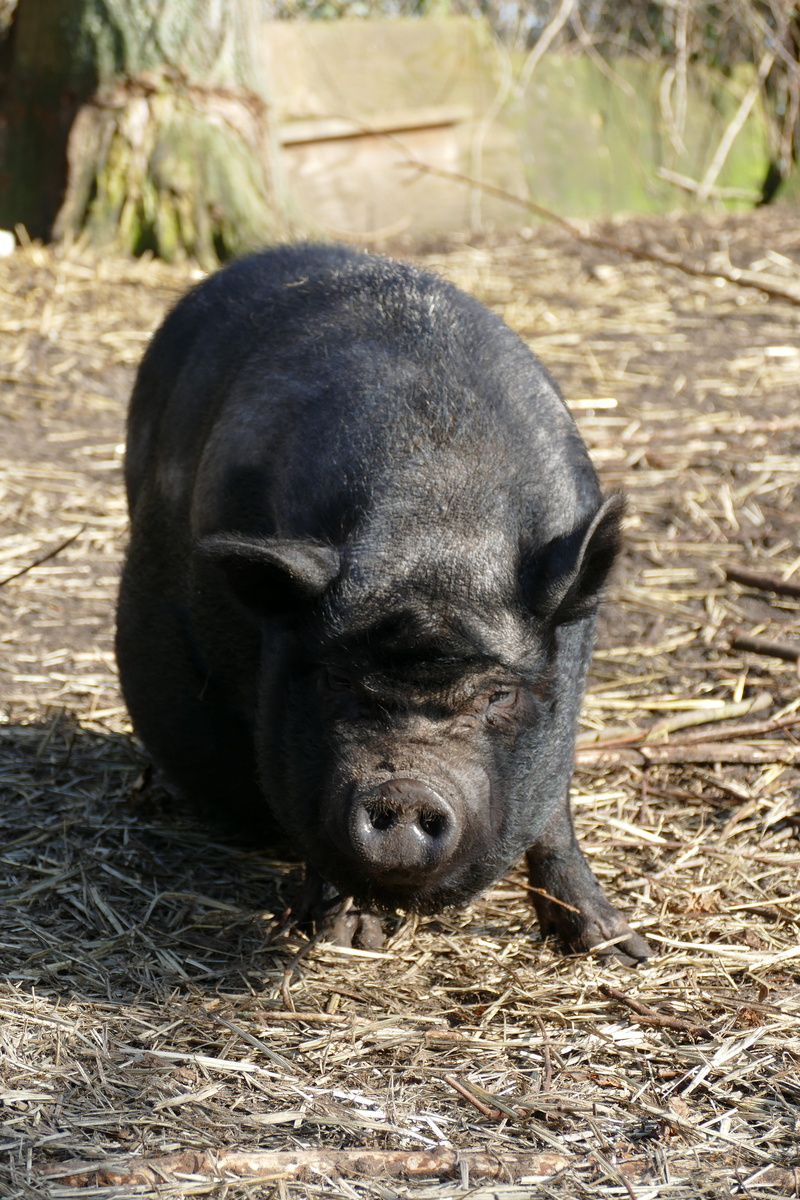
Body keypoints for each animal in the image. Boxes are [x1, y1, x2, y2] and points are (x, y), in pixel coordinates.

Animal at [116, 242, 649, 962]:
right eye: (337, 680)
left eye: (498, 694)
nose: (403, 790)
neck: (435, 528)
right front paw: (348, 937)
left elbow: (554, 813)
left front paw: (616, 948)